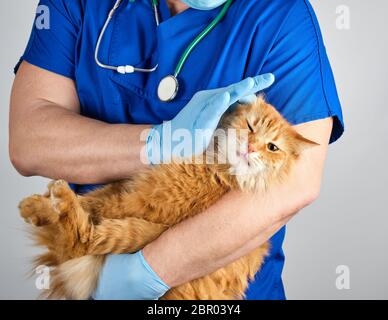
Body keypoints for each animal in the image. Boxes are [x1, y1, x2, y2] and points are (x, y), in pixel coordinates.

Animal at [18, 97, 316, 300]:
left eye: (272, 147)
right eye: (251, 126)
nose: (251, 147)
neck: (216, 167)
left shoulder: (140, 202)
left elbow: (88, 211)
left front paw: (48, 203)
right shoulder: (126, 188)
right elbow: (91, 199)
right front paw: (39, 204)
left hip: (137, 230)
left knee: (77, 241)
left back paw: (60, 197)